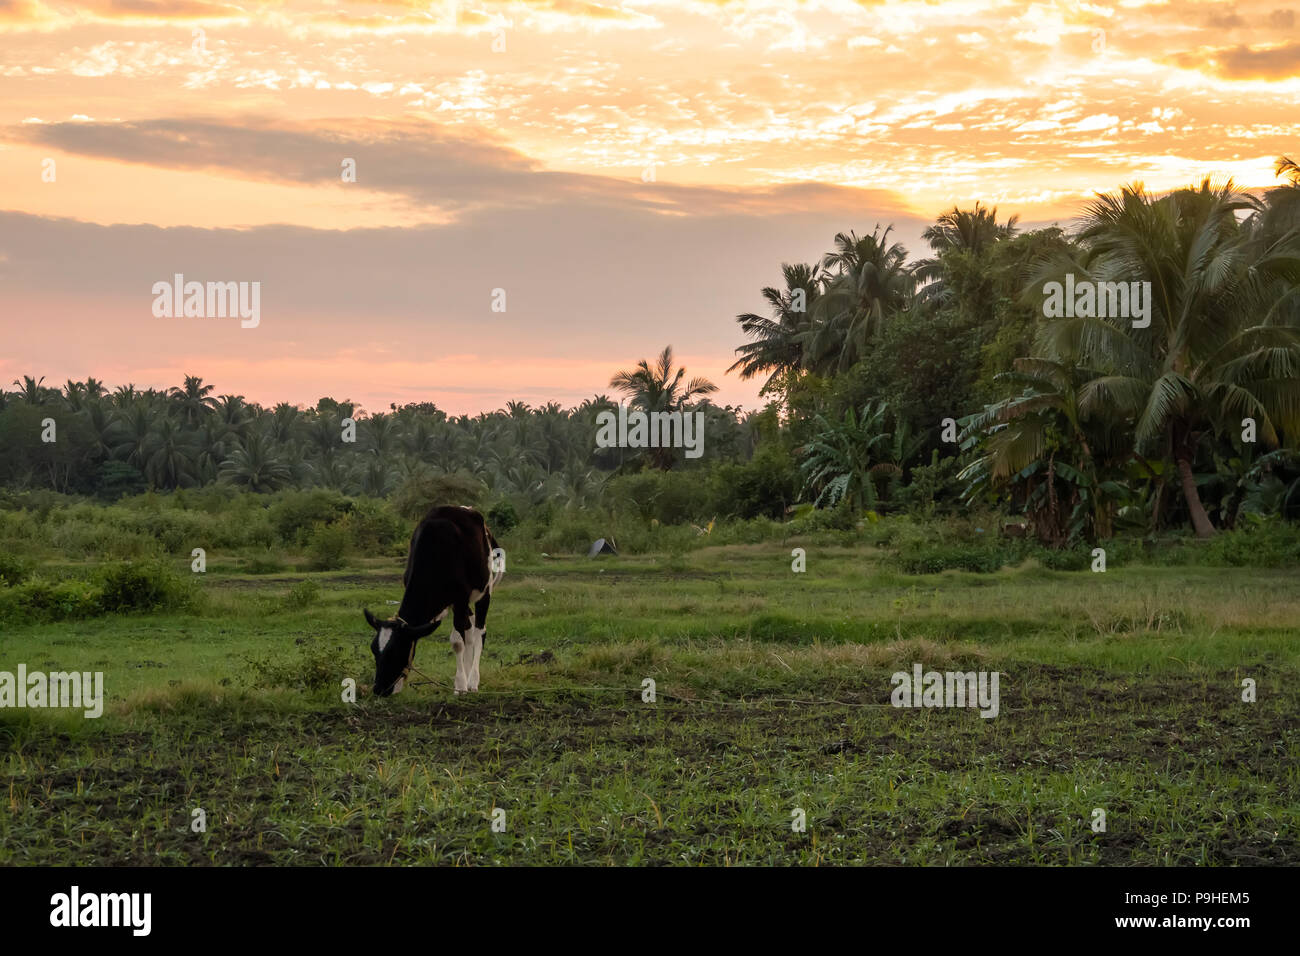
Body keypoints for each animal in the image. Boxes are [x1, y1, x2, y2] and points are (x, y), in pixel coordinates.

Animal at [369, 504, 504, 697]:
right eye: (374, 650)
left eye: (396, 651)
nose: (379, 689)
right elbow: (459, 639)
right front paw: (460, 682)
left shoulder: (460, 597)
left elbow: (460, 641)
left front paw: (461, 685)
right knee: (469, 629)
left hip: (485, 590)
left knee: (480, 630)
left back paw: (473, 680)